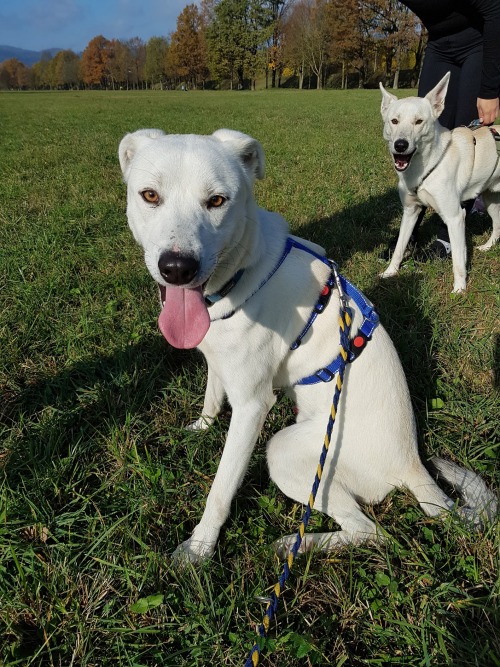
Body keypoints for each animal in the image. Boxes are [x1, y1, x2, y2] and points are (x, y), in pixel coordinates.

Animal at [118, 126, 496, 564]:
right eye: (149, 195)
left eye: (217, 201)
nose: (177, 268)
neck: (242, 272)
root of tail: (412, 464)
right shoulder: (219, 361)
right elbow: (212, 397)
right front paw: (201, 427)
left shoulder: (252, 408)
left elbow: (221, 489)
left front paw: (199, 549)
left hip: (286, 451)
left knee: (373, 533)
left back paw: (297, 544)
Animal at [378, 73, 500, 292]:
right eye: (394, 121)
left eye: (419, 121)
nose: (400, 145)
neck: (426, 166)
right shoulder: (410, 211)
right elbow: (400, 246)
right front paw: (390, 272)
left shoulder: (455, 217)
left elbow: (458, 260)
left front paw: (459, 290)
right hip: (490, 200)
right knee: (497, 225)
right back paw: (487, 246)